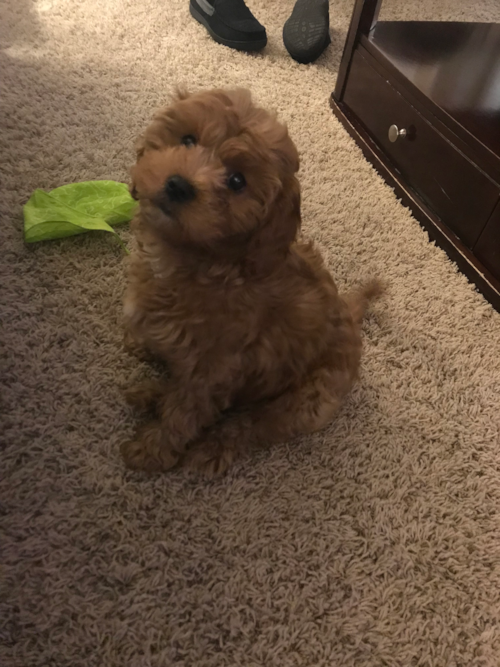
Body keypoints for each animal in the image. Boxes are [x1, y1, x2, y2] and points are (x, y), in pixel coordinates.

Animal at [121, 88, 382, 474]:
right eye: (187, 140)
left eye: (237, 181)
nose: (178, 186)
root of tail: (350, 318)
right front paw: (145, 346)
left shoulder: (212, 370)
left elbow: (184, 414)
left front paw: (153, 449)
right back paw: (152, 393)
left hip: (307, 402)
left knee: (250, 425)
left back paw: (210, 449)